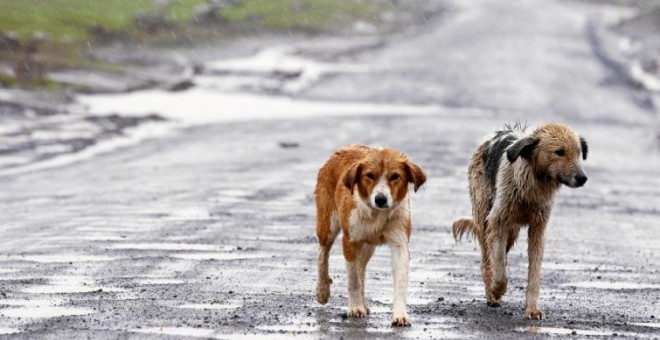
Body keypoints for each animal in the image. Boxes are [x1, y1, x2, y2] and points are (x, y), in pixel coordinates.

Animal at [316, 144, 428, 326]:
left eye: (395, 176)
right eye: (369, 175)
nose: (380, 199)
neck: (377, 215)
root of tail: (344, 148)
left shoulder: (400, 243)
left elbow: (400, 281)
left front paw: (400, 314)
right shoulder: (350, 241)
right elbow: (353, 279)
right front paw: (355, 308)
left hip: (368, 246)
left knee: (361, 267)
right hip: (328, 226)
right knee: (322, 254)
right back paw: (322, 290)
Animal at [454, 123, 588, 320]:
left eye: (579, 152)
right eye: (559, 152)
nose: (582, 178)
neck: (533, 185)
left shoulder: (538, 229)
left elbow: (534, 273)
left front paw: (532, 309)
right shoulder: (497, 221)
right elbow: (499, 270)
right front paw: (497, 289)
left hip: (512, 231)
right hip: (485, 219)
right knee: (487, 261)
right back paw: (491, 295)